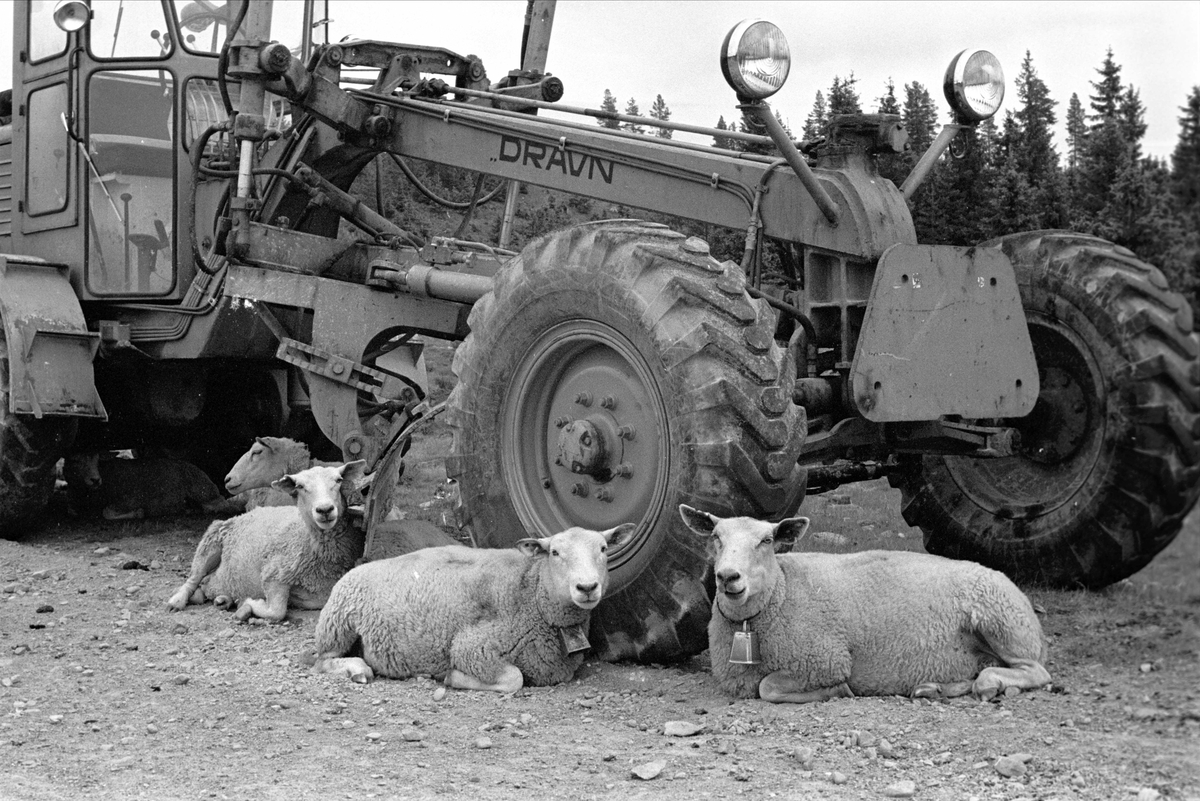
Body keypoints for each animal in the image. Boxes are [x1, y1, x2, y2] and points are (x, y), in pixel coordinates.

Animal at [166, 460, 367, 623]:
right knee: (193, 578)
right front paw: (249, 603)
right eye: (300, 486)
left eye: (338, 480)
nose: (325, 509)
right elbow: (277, 611)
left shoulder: (321, 591)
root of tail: (245, 513)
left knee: (206, 583)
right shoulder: (273, 573)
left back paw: (222, 599)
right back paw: (177, 601)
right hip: (211, 539)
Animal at [309, 525, 638, 690]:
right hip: (337, 625)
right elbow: (514, 679)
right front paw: (451, 677)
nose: (587, 587)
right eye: (555, 552)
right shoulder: (472, 647)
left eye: (603, 549)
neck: (531, 593)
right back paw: (357, 669)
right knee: (320, 662)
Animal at [681, 503, 1056, 705]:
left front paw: (838, 691)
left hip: (1003, 622)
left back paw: (990, 683)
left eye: (768, 540)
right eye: (715, 537)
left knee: (1035, 671)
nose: (728, 577)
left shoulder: (825, 660)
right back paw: (934, 687)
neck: (781, 593)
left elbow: (768, 687)